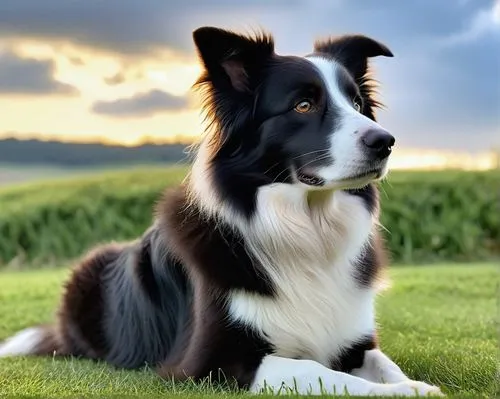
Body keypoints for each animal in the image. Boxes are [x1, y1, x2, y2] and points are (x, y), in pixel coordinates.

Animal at [0, 27, 446, 396]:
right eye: (303, 105)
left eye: (356, 103)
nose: (385, 142)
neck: (306, 228)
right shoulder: (212, 363)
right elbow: (318, 372)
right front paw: (404, 392)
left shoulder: (354, 341)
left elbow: (383, 363)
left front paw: (412, 384)